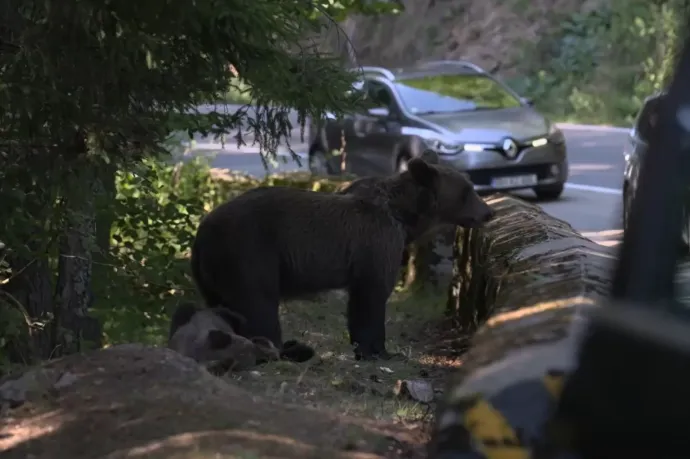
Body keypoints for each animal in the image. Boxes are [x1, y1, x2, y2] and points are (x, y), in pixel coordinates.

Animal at [191, 158, 492, 362]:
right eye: (468, 190)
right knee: (258, 305)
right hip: (251, 252)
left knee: (223, 308)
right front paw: (379, 351)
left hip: (212, 272)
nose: (488, 212)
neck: (405, 218)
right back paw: (290, 349)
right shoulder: (376, 244)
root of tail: (203, 230)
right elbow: (370, 298)